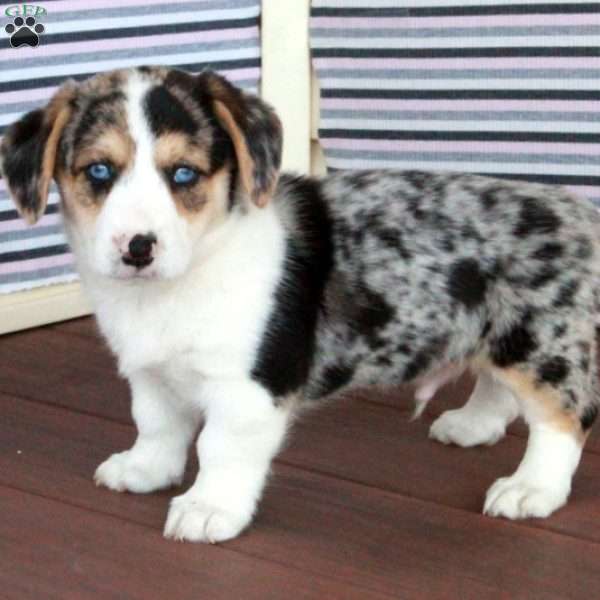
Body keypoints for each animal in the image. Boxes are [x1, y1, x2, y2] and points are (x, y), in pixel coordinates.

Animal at [1, 67, 600, 544]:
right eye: (99, 171)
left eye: (184, 174)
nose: (138, 247)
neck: (176, 283)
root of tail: (585, 216)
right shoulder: (151, 375)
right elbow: (156, 426)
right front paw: (145, 471)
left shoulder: (248, 390)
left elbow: (219, 449)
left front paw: (207, 508)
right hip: (502, 333)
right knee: (498, 385)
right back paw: (473, 424)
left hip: (543, 345)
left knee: (563, 420)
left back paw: (531, 488)